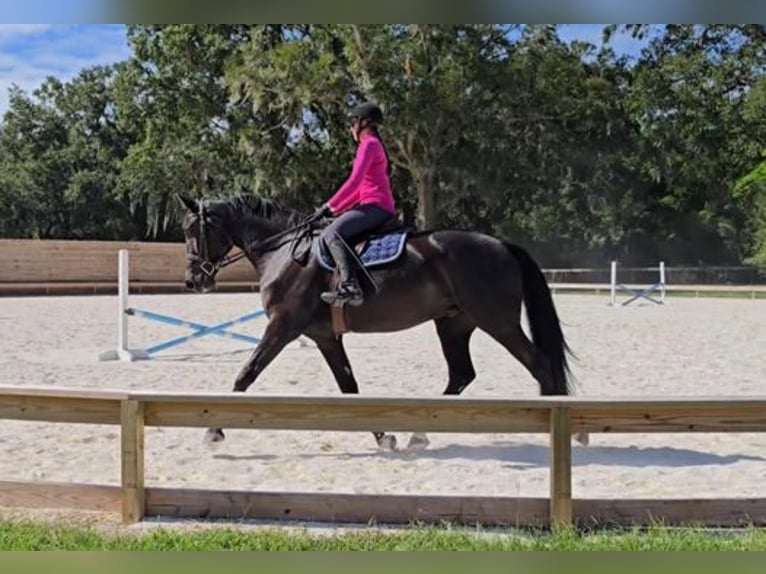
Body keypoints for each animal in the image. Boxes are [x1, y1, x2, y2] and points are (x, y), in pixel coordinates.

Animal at [182, 196, 588, 452]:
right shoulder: (325, 337)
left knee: (539, 365)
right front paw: (383, 437)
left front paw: (213, 431)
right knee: (462, 374)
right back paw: (419, 434)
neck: (284, 252)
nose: (193, 281)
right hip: (454, 324)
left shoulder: (283, 327)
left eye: (192, 232)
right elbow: (350, 388)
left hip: (498, 323)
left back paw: (561, 430)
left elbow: (245, 375)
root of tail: (502, 245)